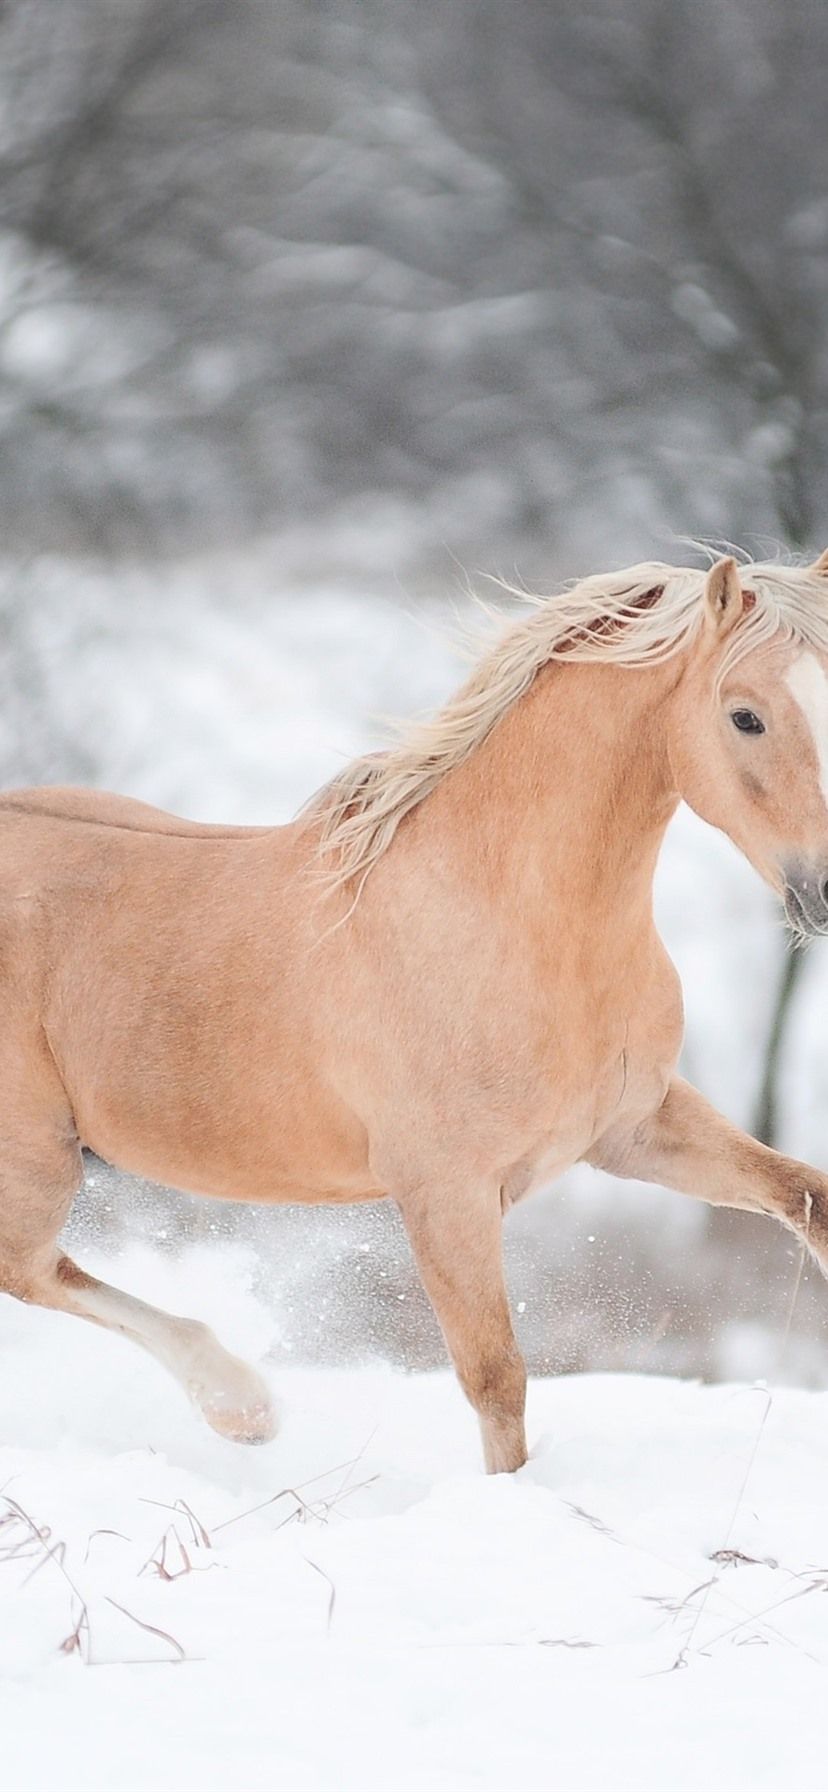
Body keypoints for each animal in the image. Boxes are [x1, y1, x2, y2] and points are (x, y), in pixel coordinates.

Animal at [4, 550, 828, 1473]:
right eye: (746, 716)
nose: (826, 893)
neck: (511, 921)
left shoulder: (632, 1127)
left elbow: (806, 1195)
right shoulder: (446, 1193)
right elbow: (495, 1379)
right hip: (35, 1156)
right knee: (28, 1267)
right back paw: (241, 1405)